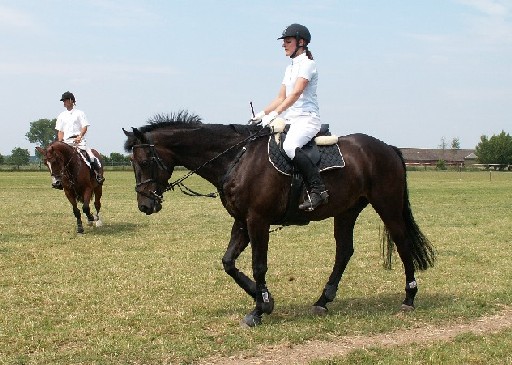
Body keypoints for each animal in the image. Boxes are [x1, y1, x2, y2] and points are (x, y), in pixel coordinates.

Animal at [122, 110, 434, 324]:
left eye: (145, 161)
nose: (145, 205)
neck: (237, 157)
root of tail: (388, 148)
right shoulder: (242, 221)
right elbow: (228, 262)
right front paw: (265, 300)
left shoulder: (257, 220)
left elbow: (259, 265)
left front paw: (258, 311)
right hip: (346, 211)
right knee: (344, 251)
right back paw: (323, 301)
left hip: (387, 206)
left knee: (403, 244)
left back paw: (409, 297)